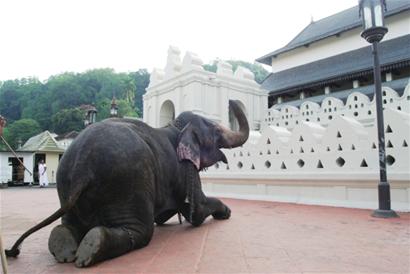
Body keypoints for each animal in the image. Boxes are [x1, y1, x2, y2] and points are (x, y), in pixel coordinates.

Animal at [4, 100, 248, 268]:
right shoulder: (184, 169)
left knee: (68, 225)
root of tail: (83, 165)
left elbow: (164, 215)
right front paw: (225, 213)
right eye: (216, 131)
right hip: (128, 184)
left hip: (67, 186)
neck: (175, 126)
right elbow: (195, 213)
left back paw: (65, 246)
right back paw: (92, 248)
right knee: (141, 230)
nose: (232, 101)